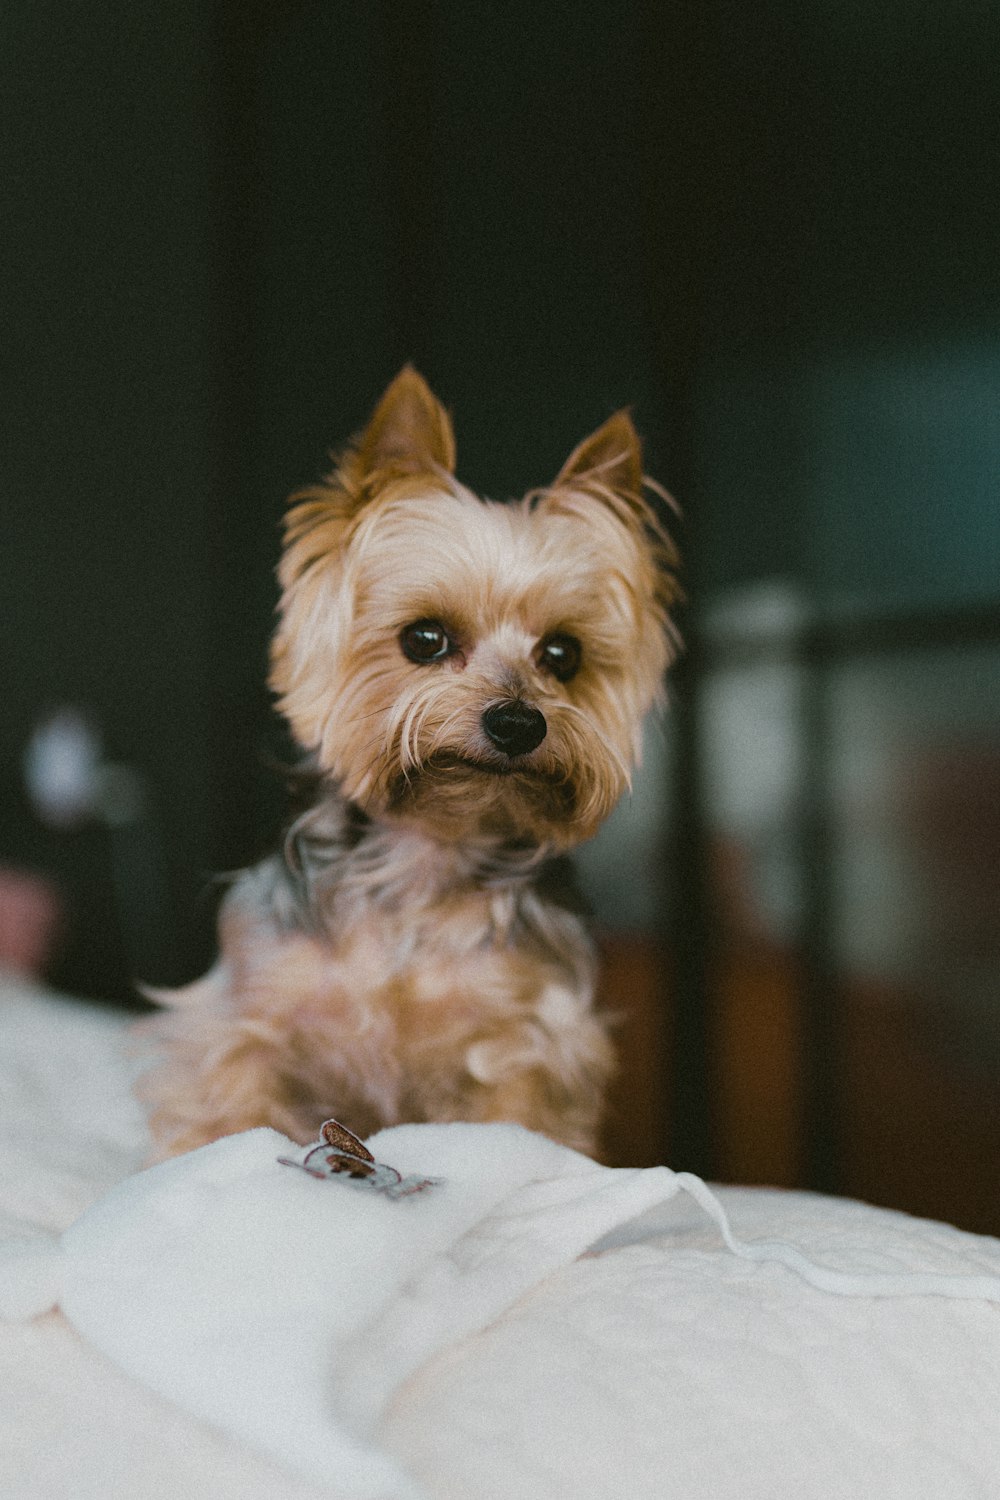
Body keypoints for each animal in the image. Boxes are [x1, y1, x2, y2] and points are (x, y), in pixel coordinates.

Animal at [142, 366, 680, 1158]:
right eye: (424, 639)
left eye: (563, 654)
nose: (518, 722)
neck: (426, 857)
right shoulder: (244, 1019)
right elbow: (231, 1111)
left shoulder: (529, 1043)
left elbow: (519, 1124)